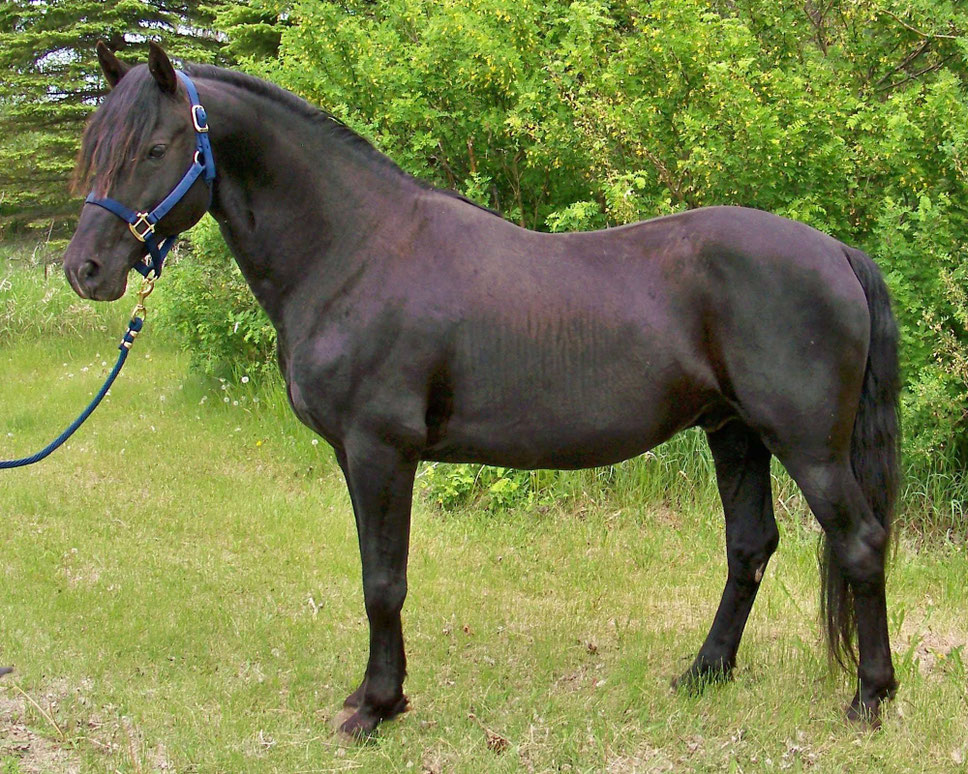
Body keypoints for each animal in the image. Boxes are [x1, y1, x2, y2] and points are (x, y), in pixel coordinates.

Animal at [63, 42, 900, 736]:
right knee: (750, 546)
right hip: (734, 433)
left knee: (859, 543)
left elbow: (383, 582)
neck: (355, 252)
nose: (86, 270)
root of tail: (834, 251)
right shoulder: (354, 456)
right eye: (95, 147)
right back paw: (704, 673)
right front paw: (376, 696)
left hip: (806, 445)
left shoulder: (380, 451)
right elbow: (374, 574)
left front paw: (377, 707)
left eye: (155, 147)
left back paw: (869, 698)